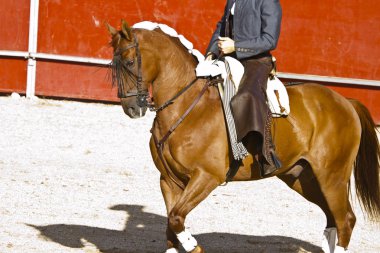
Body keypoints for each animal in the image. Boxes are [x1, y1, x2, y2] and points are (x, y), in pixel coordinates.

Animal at [105, 22, 378, 253]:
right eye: (113, 65)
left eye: (130, 61)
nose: (131, 108)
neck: (187, 106)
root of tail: (345, 101)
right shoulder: (169, 180)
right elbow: (171, 226)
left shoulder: (206, 177)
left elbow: (176, 218)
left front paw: (195, 246)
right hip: (303, 177)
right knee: (333, 218)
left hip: (332, 177)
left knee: (345, 220)